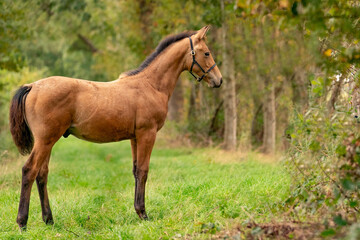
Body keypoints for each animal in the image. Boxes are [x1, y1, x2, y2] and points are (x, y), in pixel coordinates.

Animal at [9, 25, 222, 229]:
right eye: (206, 53)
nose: (218, 80)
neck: (150, 85)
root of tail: (32, 86)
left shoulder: (135, 137)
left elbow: (136, 170)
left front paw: (138, 211)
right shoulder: (147, 134)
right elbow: (143, 170)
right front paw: (144, 214)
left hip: (48, 141)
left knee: (42, 174)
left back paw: (49, 220)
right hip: (45, 140)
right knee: (29, 171)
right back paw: (22, 222)